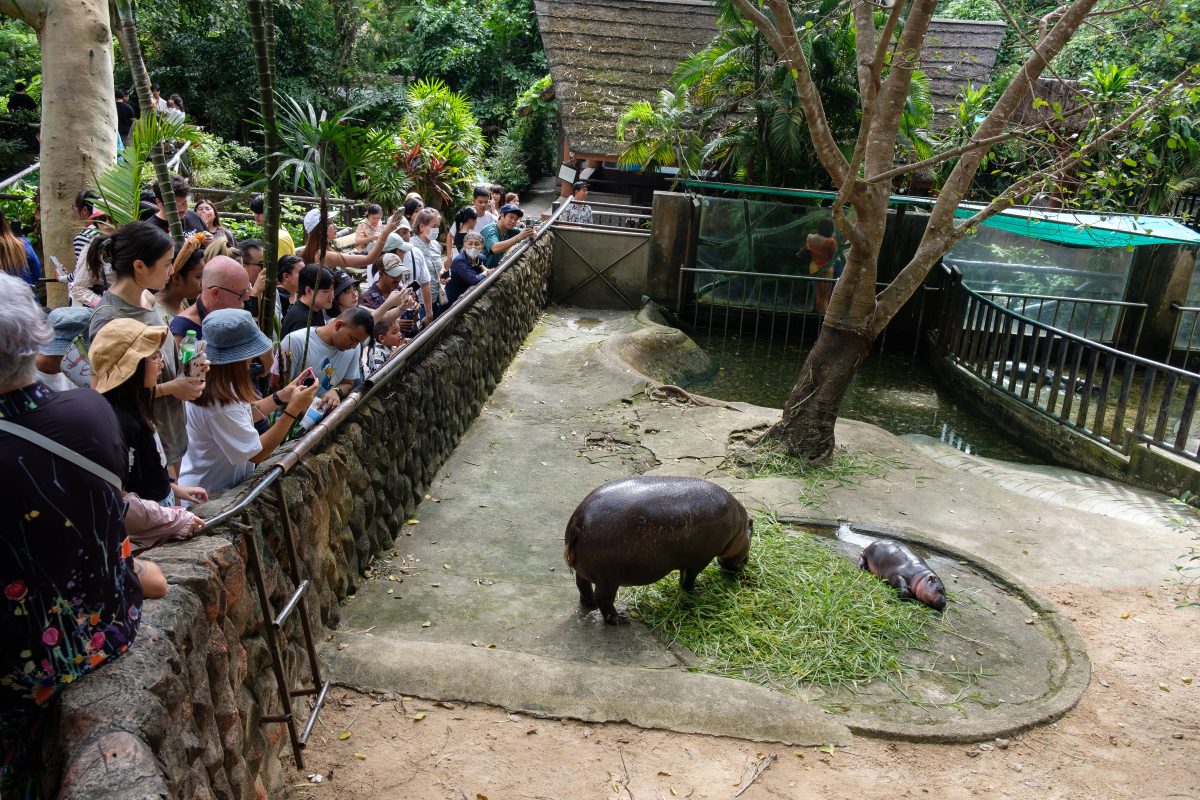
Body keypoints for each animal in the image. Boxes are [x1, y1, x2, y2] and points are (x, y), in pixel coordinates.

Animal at [561, 474, 748, 623]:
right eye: (751, 533)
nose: (745, 563)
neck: (739, 527)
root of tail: (578, 521)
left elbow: (683, 577)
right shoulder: (701, 558)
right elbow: (690, 577)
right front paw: (697, 592)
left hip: (587, 572)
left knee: (583, 586)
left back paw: (590, 605)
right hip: (608, 580)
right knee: (603, 600)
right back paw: (620, 619)